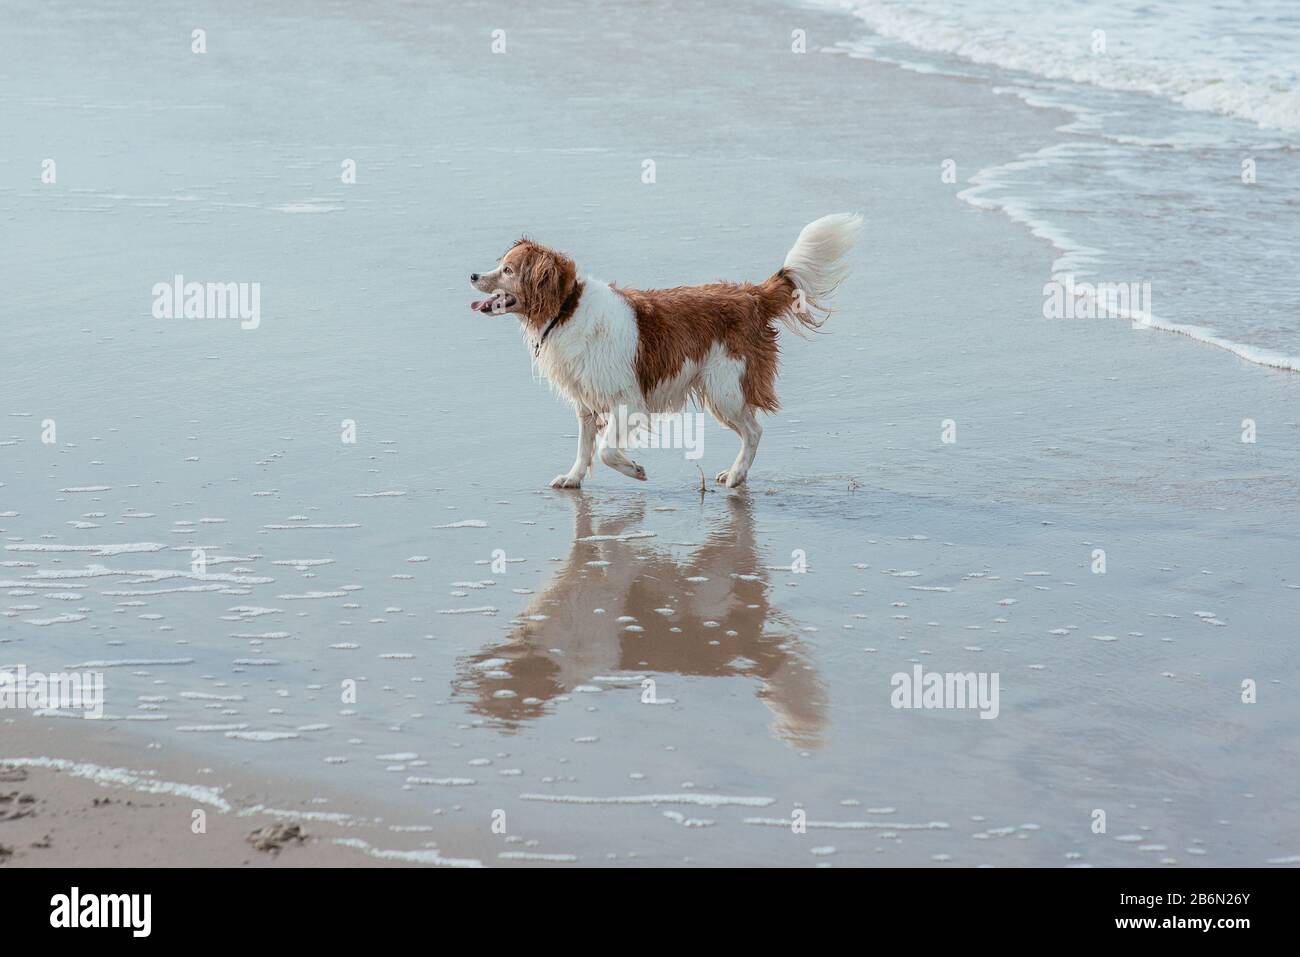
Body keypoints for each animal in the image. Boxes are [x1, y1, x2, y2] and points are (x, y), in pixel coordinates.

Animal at [470, 214, 863, 488]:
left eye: (508, 269)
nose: (472, 275)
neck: (567, 309)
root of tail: (751, 294)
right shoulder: (587, 402)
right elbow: (585, 447)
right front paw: (573, 478)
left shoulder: (628, 402)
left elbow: (607, 450)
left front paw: (634, 469)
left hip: (724, 389)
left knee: (754, 431)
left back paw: (736, 475)